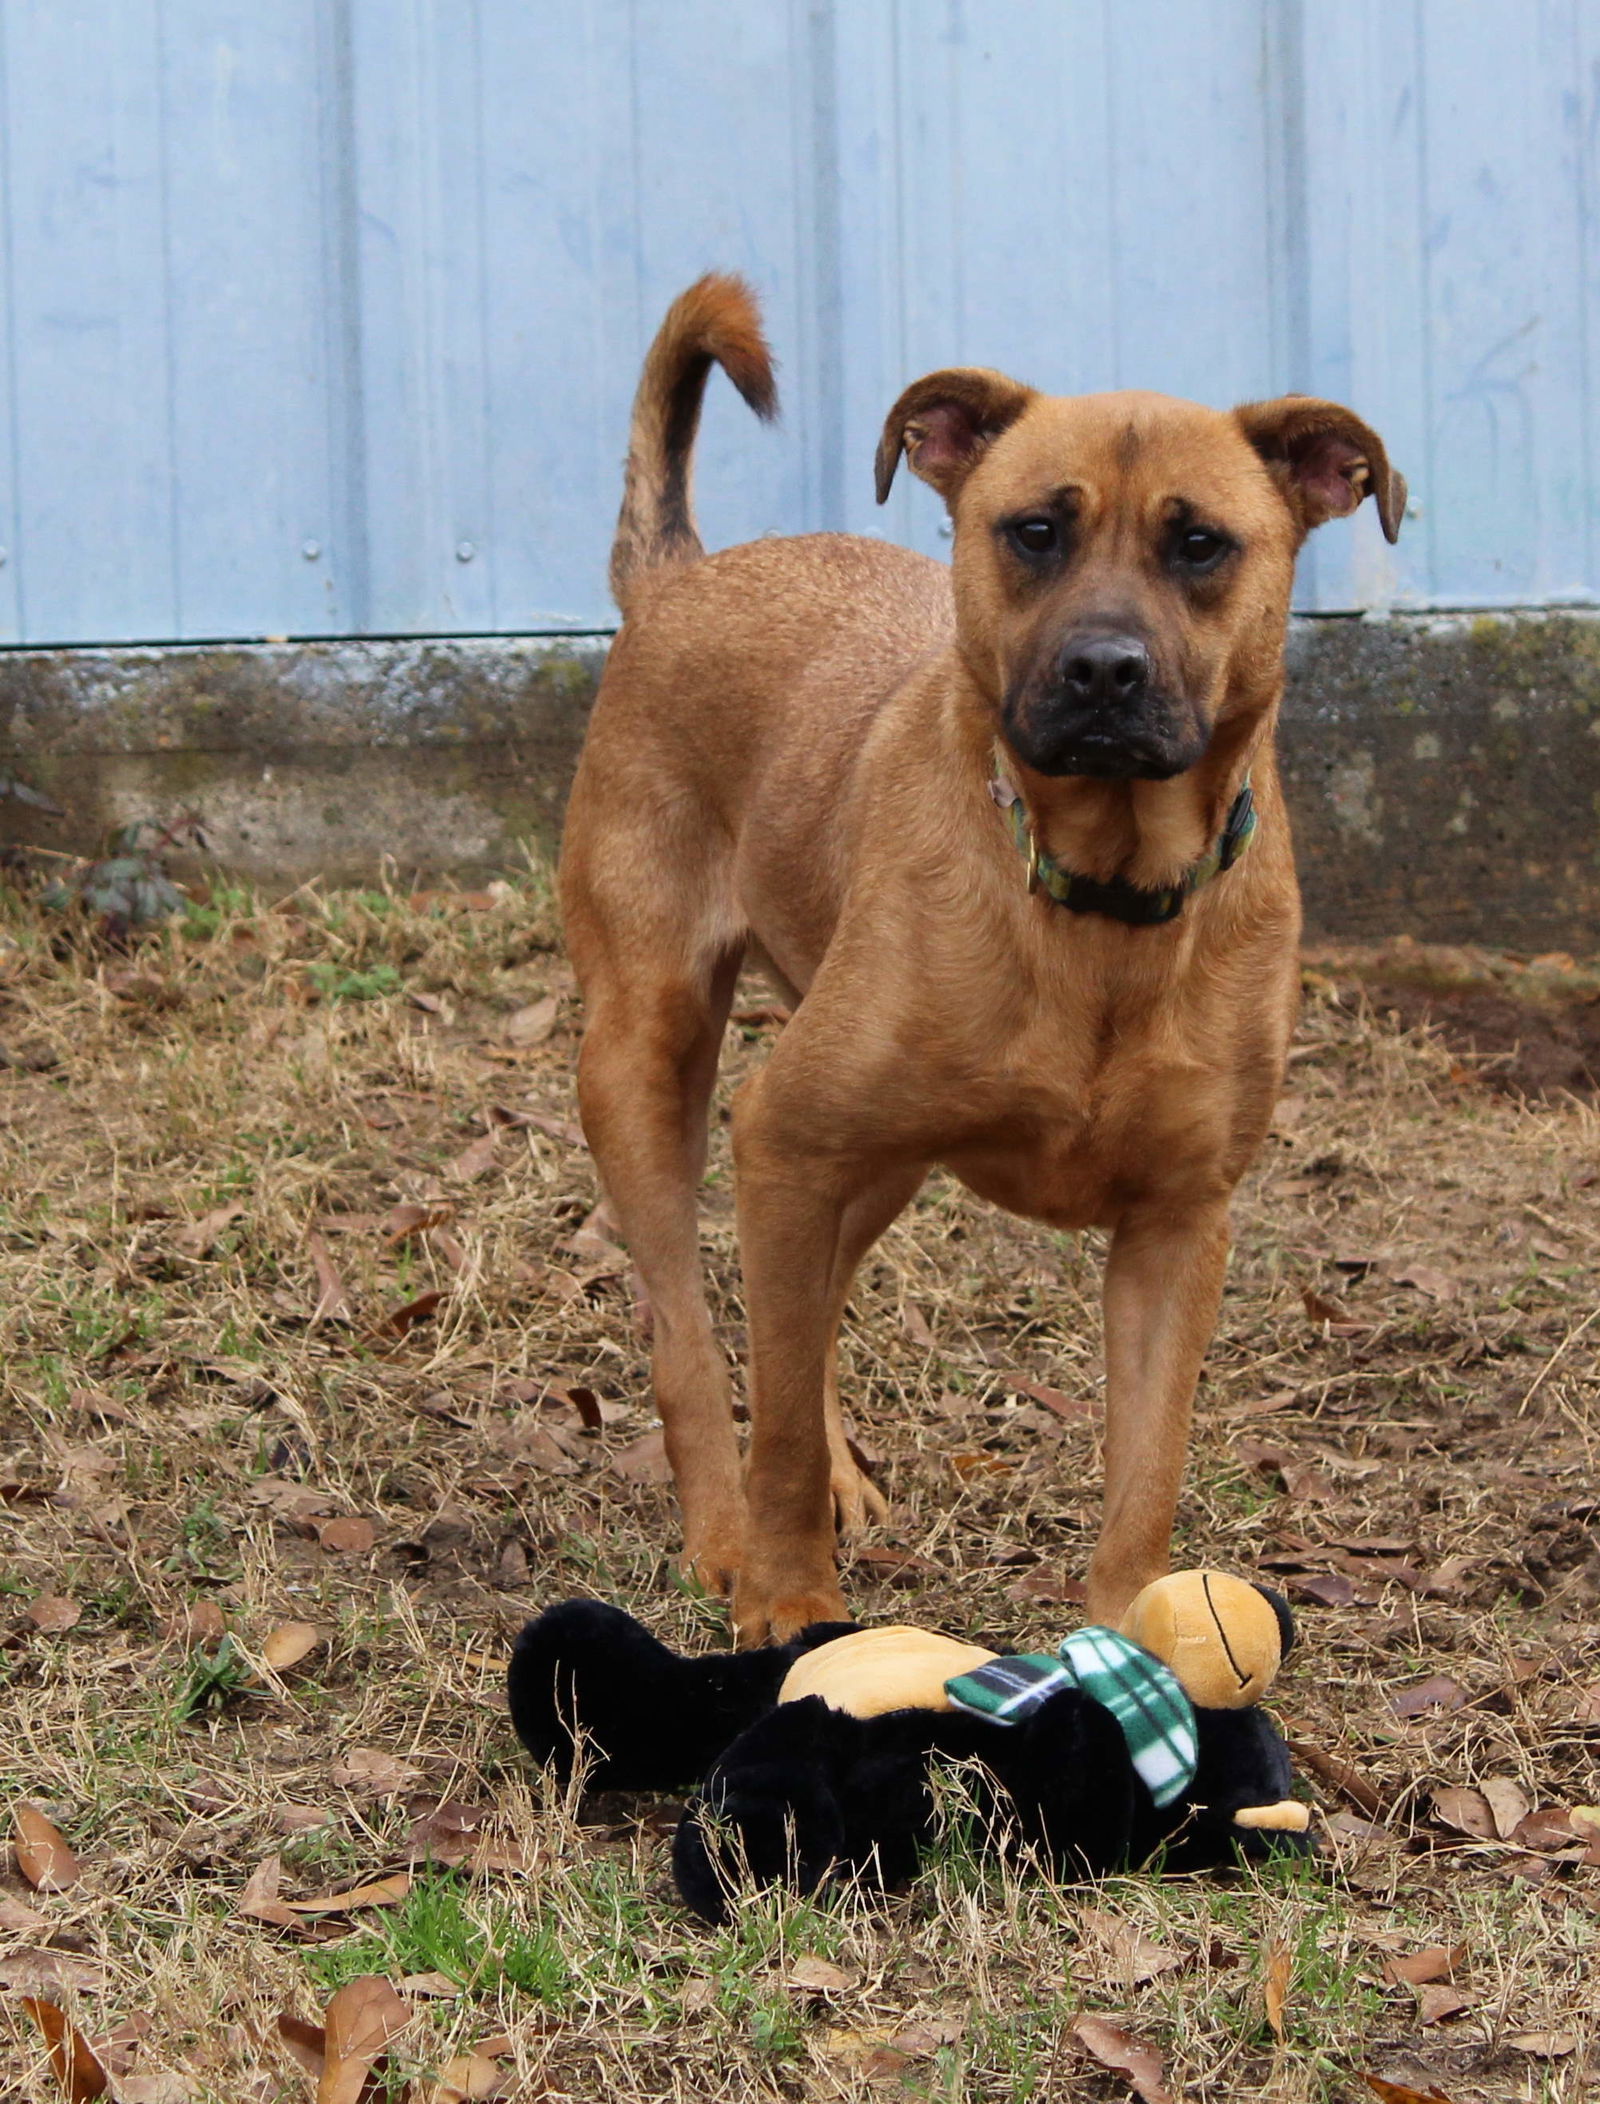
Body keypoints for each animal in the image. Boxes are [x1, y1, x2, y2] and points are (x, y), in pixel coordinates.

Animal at [560, 271, 1397, 1641]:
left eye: (1200, 546)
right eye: (1034, 531)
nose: (1102, 670)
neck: (1101, 902)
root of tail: (680, 577)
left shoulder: (1178, 1227)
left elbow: (1145, 1474)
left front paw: (1123, 1649)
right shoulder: (783, 1131)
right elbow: (769, 1419)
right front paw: (789, 1600)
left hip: (874, 1156)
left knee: (801, 1321)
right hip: (649, 1056)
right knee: (691, 1330)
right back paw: (724, 1532)